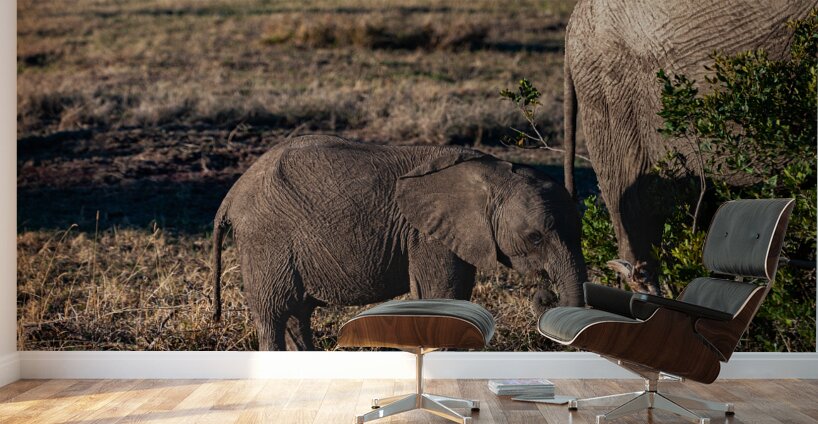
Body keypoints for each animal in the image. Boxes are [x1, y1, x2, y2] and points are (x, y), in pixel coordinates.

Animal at [212, 135, 587, 350]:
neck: (493, 173)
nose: (544, 293)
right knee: (274, 315)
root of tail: (230, 195)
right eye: (535, 238)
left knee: (295, 315)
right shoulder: (426, 234)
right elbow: (441, 295)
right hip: (266, 240)